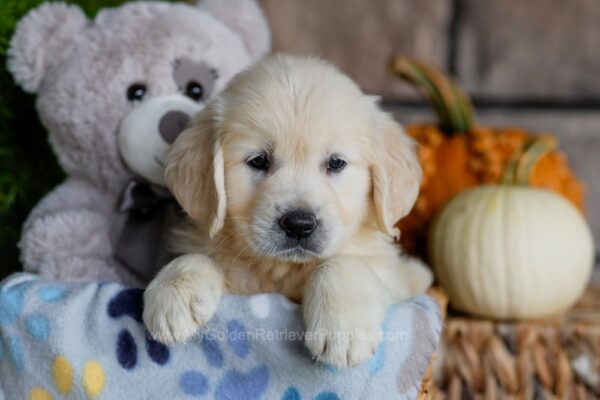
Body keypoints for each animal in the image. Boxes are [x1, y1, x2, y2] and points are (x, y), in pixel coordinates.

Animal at [143, 54, 434, 368]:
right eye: (258, 160)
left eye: (335, 163)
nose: (299, 224)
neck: (282, 271)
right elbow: (198, 257)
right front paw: (173, 293)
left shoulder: (401, 279)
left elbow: (342, 262)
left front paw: (343, 328)